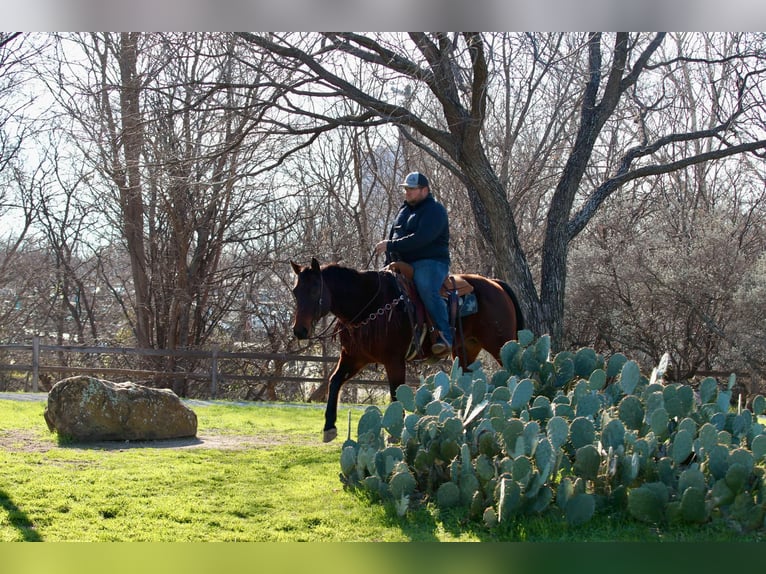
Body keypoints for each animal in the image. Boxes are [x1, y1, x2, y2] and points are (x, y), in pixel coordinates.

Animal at [290, 257, 525, 442]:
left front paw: (394, 434)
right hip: (467, 350)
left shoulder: (394, 361)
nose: (299, 330)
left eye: (314, 290)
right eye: (295, 292)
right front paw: (329, 427)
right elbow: (335, 381)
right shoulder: (354, 357)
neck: (369, 303)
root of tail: (495, 284)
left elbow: (396, 393)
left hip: (501, 344)